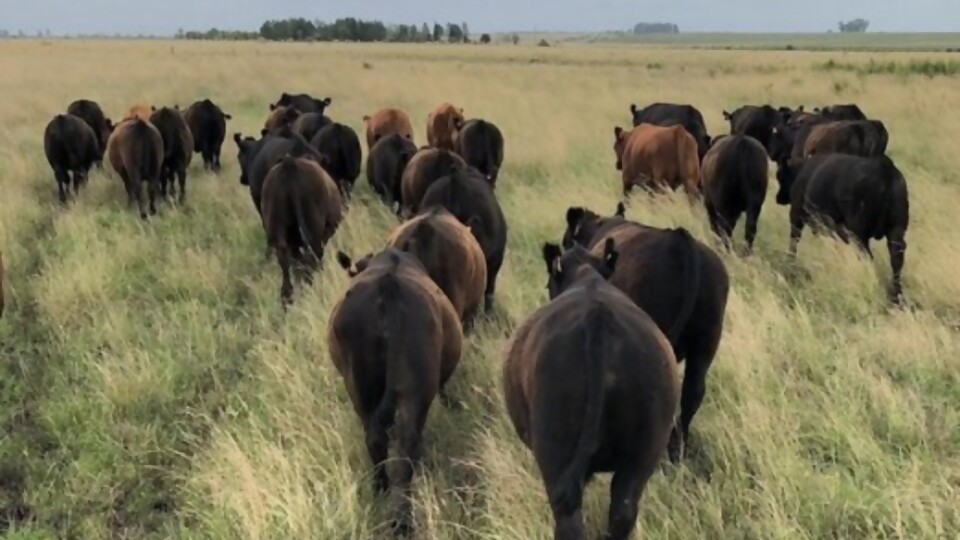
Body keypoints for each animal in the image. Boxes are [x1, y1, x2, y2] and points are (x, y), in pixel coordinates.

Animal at [260, 155, 344, 304]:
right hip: (314, 232)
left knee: (287, 265)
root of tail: (289, 163)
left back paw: (287, 299)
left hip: (279, 232)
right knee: (313, 259)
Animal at [330, 248, 464, 536]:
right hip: (415, 391)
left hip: (361, 387)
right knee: (406, 447)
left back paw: (381, 490)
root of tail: (388, 288)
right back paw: (403, 521)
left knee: (377, 440)